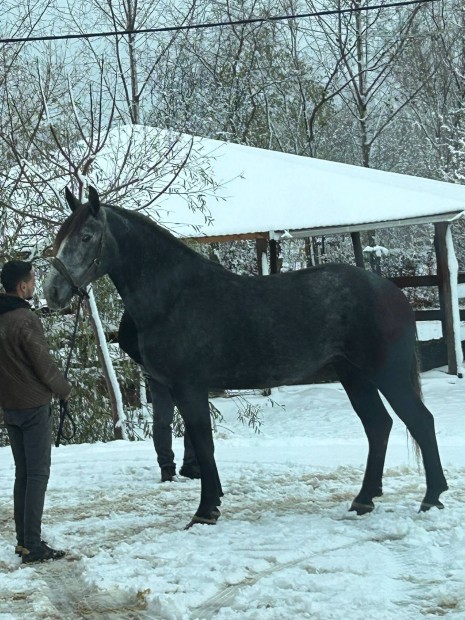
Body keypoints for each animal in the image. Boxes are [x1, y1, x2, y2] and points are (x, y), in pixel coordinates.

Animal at [43, 186, 446, 524]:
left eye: (86, 236)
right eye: (61, 236)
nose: (52, 292)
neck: (176, 297)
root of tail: (392, 292)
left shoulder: (189, 387)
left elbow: (203, 443)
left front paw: (205, 510)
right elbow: (201, 443)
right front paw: (212, 501)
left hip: (387, 374)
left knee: (421, 422)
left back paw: (431, 497)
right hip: (354, 376)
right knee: (379, 426)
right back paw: (364, 499)